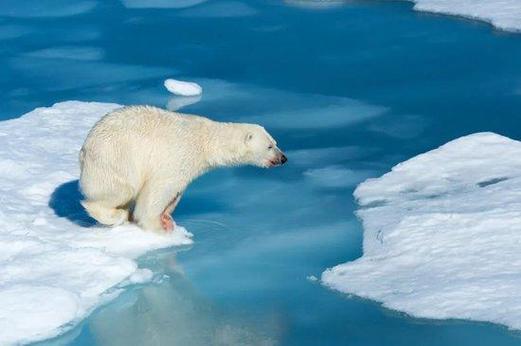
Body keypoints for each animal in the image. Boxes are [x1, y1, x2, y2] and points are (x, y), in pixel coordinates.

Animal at [79, 104, 286, 231]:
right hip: (115, 158)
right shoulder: (177, 156)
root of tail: (85, 149)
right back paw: (115, 214)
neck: (206, 141)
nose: (283, 158)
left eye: (276, 142)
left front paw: (166, 218)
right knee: (119, 190)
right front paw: (157, 226)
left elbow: (176, 192)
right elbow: (159, 190)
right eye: (269, 146)